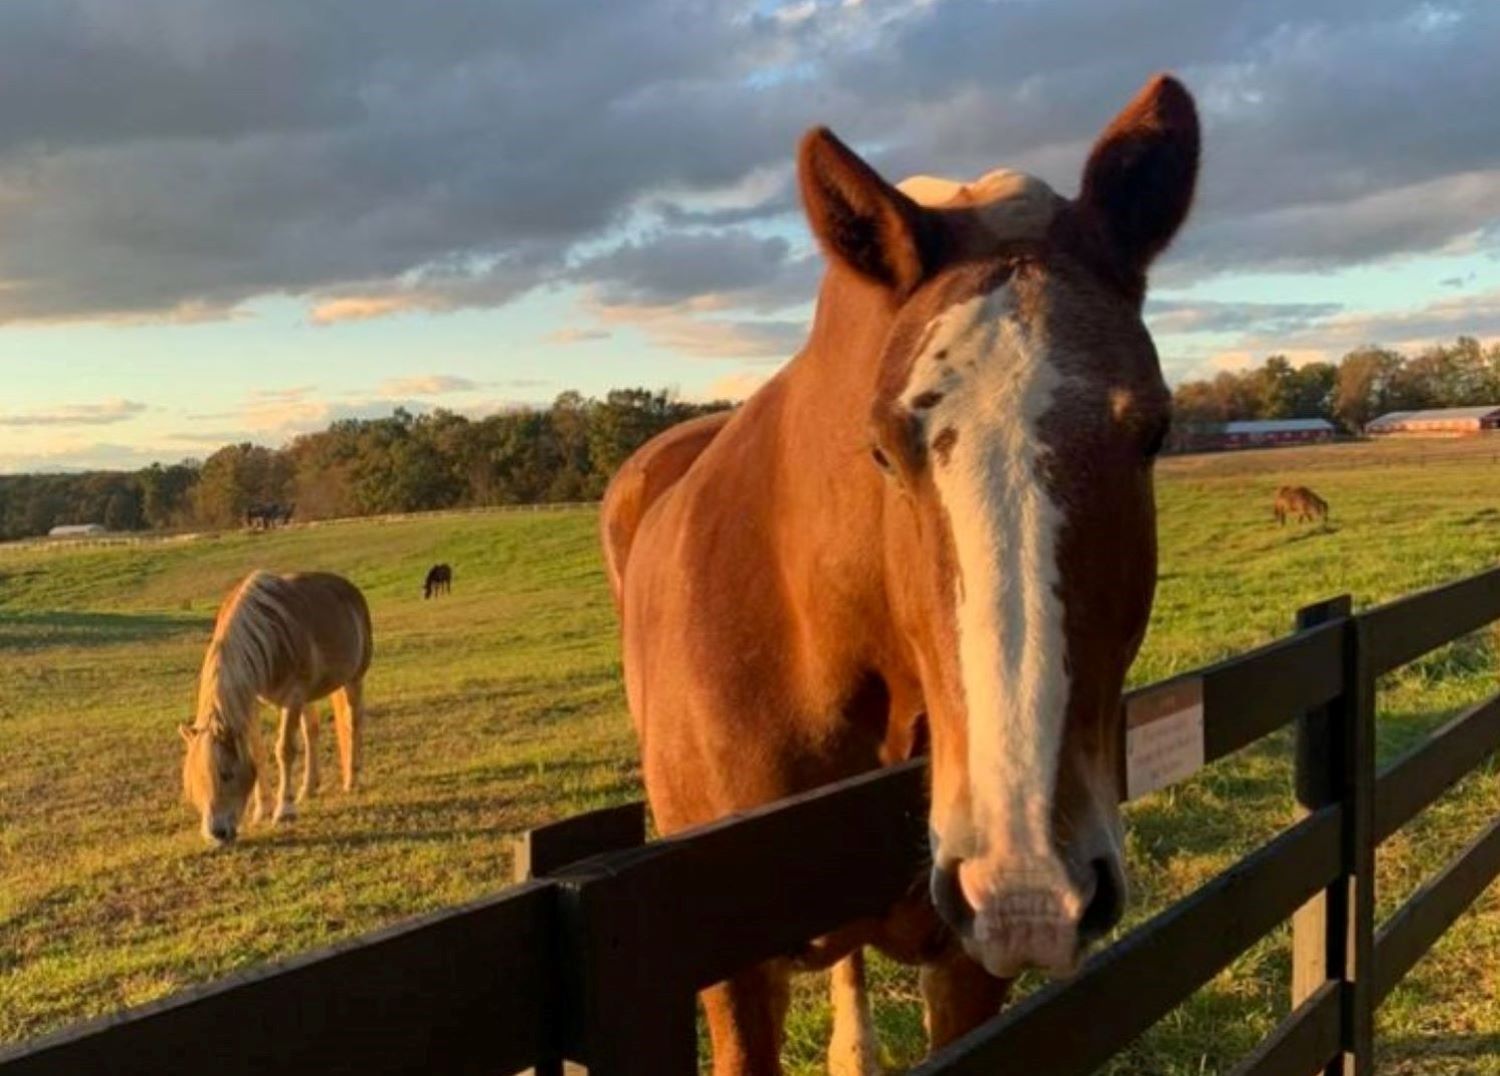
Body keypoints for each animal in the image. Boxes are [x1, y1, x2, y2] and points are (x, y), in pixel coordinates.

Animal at [180, 570, 372, 844]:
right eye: (193, 782)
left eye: (226, 774)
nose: (217, 834)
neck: (268, 635)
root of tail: (350, 589)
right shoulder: (253, 703)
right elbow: (258, 753)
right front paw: (263, 808)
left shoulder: (293, 697)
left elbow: (285, 750)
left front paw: (285, 809)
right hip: (310, 696)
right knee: (312, 731)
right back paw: (308, 788)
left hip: (353, 680)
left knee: (353, 723)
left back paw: (351, 780)